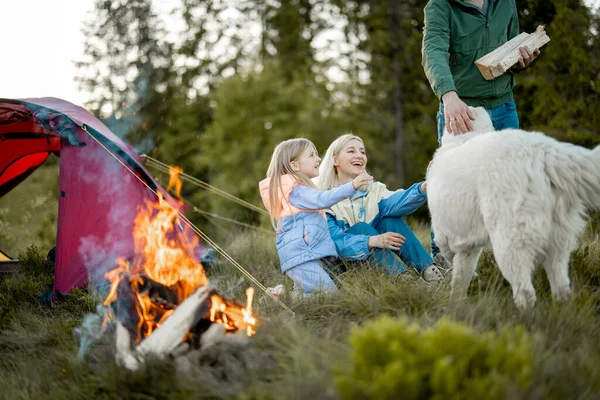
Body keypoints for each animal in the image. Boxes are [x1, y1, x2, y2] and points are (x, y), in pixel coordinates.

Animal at [426, 108, 600, 310]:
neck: (463, 140)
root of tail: (542, 150)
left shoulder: (444, 234)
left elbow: (449, 257)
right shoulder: (469, 246)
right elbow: (463, 273)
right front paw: (458, 302)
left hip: (509, 239)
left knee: (525, 291)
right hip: (557, 237)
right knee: (561, 286)